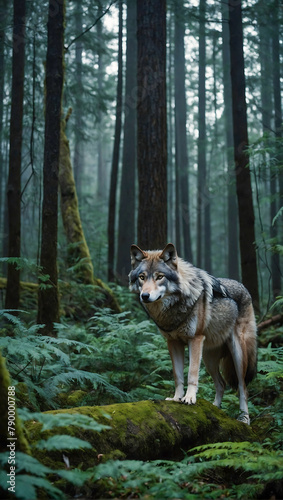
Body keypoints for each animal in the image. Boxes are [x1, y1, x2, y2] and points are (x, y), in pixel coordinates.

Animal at [130, 244, 258, 424]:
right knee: (221, 384)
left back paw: (244, 418)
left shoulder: (195, 340)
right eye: (142, 277)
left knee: (243, 388)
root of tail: (243, 287)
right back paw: (215, 409)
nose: (145, 296)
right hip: (208, 359)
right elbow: (178, 375)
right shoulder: (173, 343)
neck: (173, 308)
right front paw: (176, 398)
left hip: (238, 355)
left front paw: (189, 398)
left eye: (160, 277)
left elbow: (191, 373)